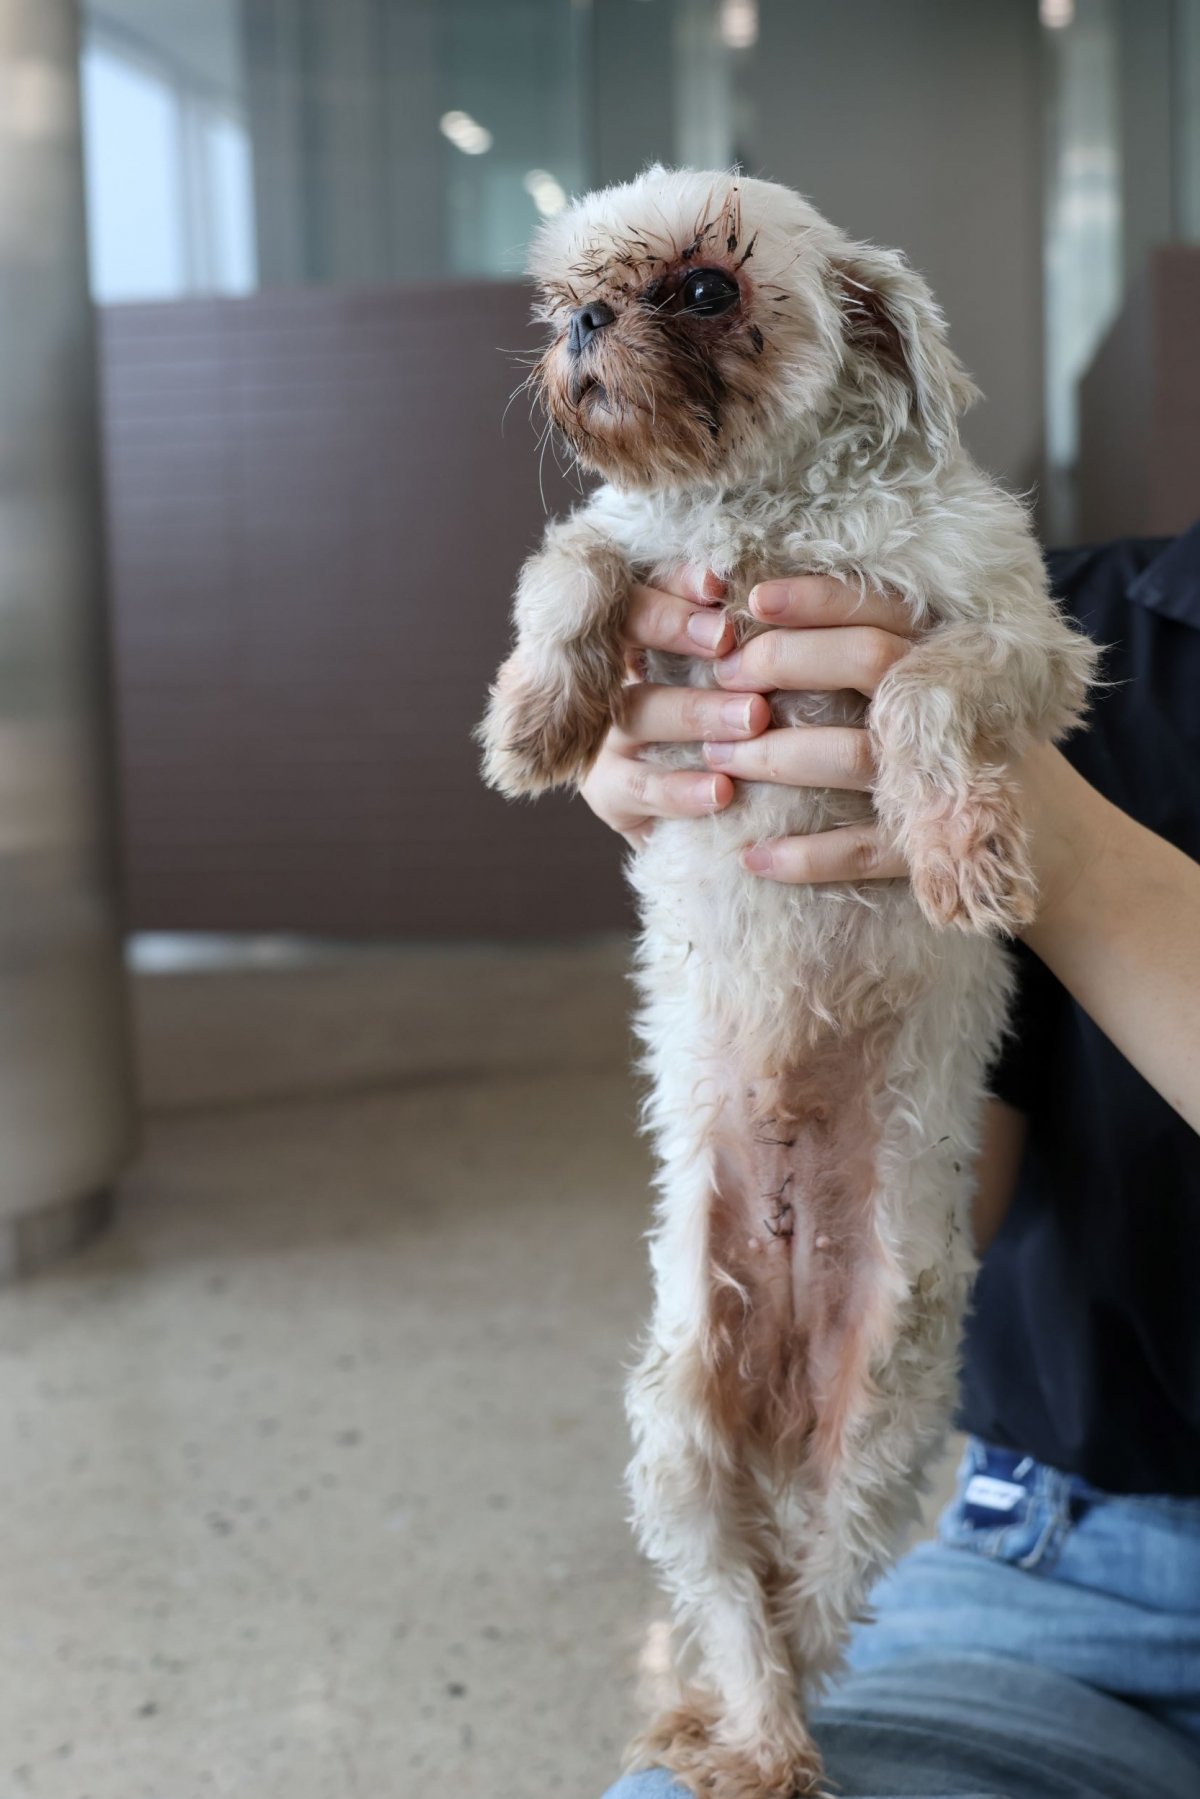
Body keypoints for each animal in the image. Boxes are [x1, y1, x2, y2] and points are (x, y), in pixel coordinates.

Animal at [478, 169, 1101, 1799]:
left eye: (705, 287)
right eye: (567, 288)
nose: (587, 320)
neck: (757, 511)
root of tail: (770, 1389)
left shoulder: (1016, 633)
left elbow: (917, 688)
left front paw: (958, 849)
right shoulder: (638, 557)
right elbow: (576, 562)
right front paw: (537, 718)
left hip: (876, 1435)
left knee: (807, 1608)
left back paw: (762, 1743)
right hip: (675, 1443)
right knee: (736, 1607)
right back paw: (735, 1724)